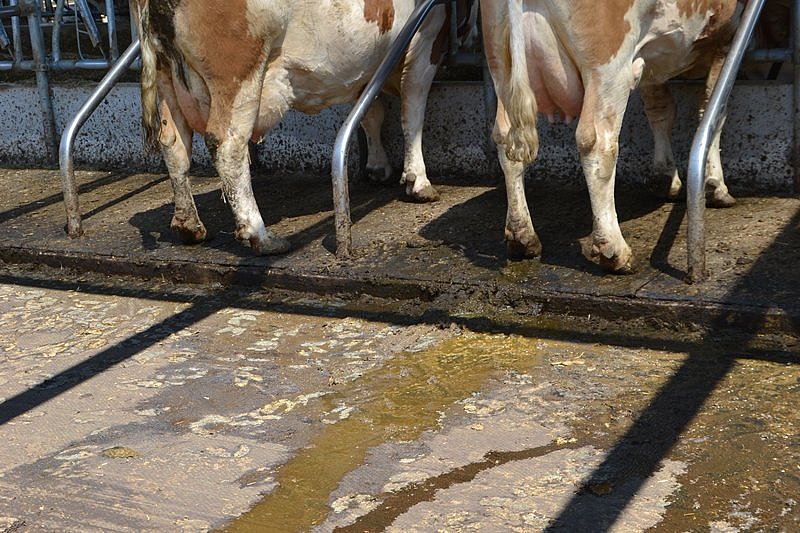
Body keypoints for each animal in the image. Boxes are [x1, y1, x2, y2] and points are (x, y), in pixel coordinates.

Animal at [130, 0, 476, 254]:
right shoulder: (427, 38)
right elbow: (413, 111)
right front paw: (418, 182)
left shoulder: (366, 65)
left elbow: (371, 112)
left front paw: (378, 167)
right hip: (240, 75)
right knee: (228, 146)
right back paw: (261, 237)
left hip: (169, 81)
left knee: (173, 145)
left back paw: (189, 226)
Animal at [478, 0, 748, 272]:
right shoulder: (727, 37)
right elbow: (714, 109)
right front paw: (715, 186)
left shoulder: (652, 63)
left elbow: (660, 108)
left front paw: (666, 179)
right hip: (609, 69)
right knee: (598, 145)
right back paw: (614, 249)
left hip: (501, 66)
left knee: (505, 139)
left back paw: (522, 236)